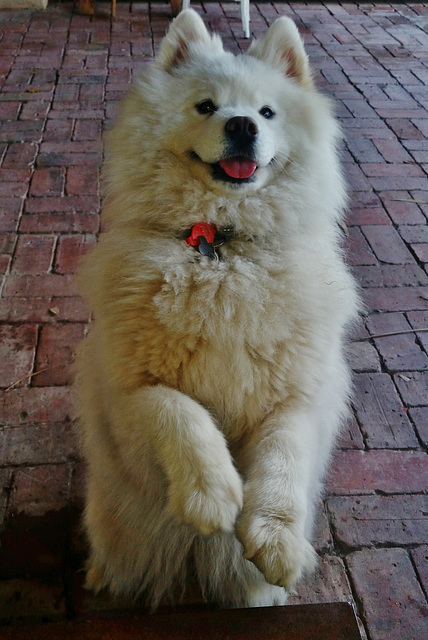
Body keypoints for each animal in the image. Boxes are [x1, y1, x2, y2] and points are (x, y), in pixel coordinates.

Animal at [75, 10, 360, 608]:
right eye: (206, 106)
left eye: (267, 112)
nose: (243, 126)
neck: (222, 248)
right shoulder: (128, 395)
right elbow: (181, 412)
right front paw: (213, 495)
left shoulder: (300, 397)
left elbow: (283, 456)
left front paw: (277, 540)